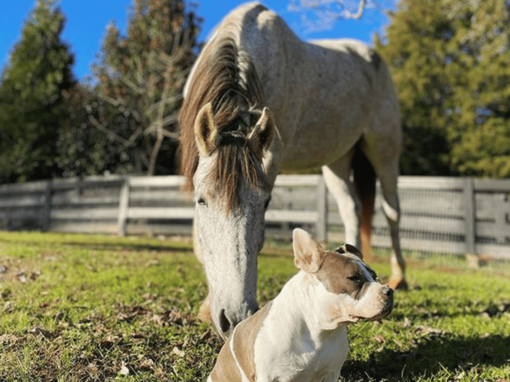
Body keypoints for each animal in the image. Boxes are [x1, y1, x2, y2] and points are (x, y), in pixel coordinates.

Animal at [179, 2, 406, 338]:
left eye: (266, 204)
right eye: (201, 200)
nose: (235, 316)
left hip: (384, 150)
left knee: (392, 211)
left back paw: (400, 275)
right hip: (337, 160)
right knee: (352, 208)